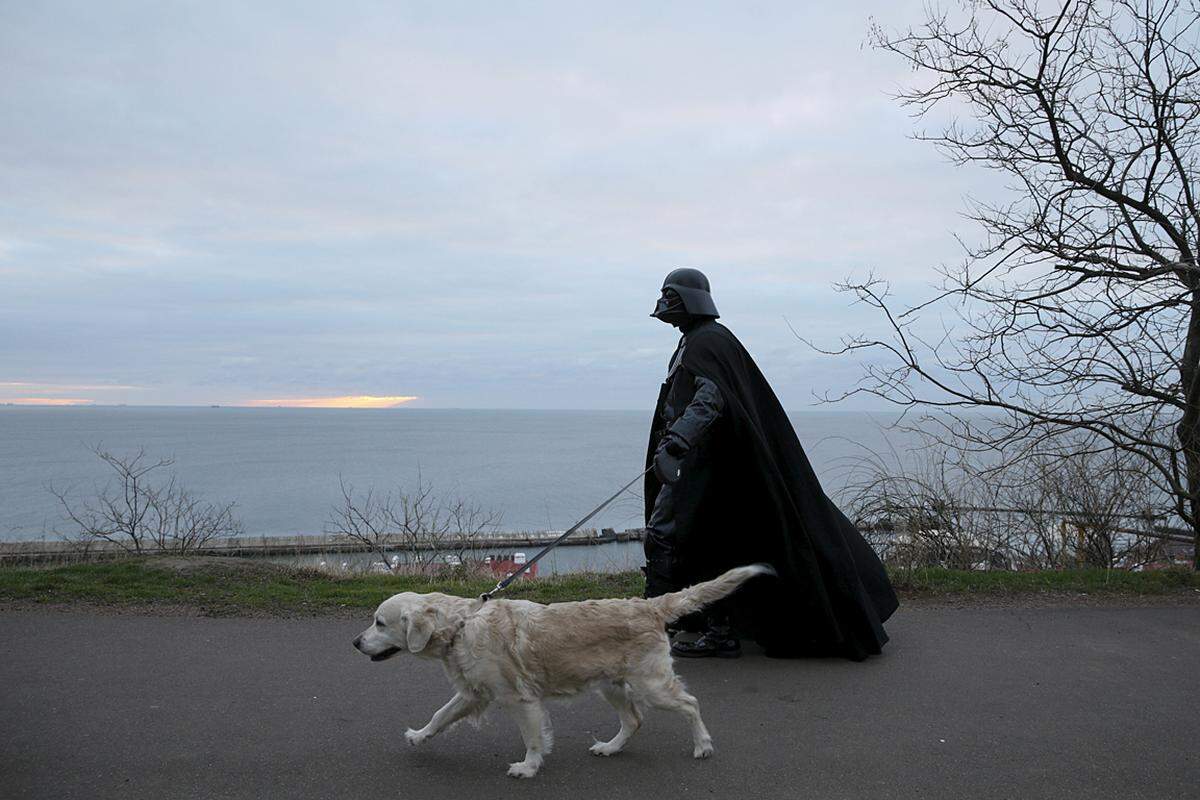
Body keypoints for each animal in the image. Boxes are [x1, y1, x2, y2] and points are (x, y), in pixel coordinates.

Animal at [350, 563, 772, 777]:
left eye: (379, 623)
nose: (355, 642)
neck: (461, 625)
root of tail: (649, 605)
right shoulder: (473, 693)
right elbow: (440, 715)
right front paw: (418, 736)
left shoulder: (520, 700)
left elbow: (533, 738)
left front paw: (529, 766)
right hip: (612, 685)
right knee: (634, 720)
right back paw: (610, 747)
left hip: (650, 684)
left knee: (690, 703)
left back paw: (702, 745)